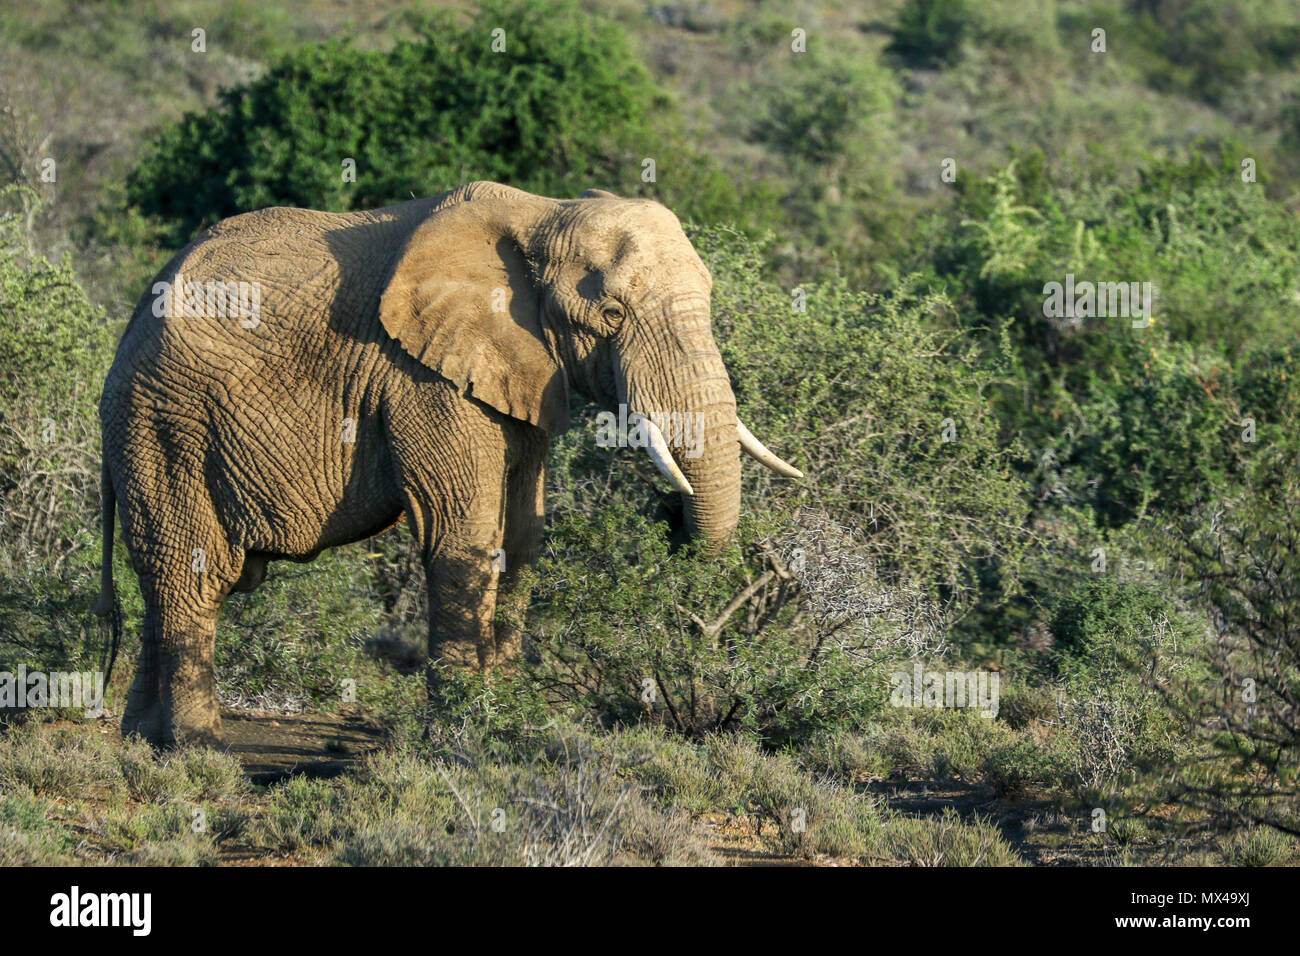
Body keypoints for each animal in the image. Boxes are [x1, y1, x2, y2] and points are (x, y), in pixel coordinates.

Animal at [91, 179, 795, 749]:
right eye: (611, 315)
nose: (668, 512)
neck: (541, 213)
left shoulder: (521, 371)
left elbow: (523, 539)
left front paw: (510, 722)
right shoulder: (423, 376)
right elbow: (465, 537)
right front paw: (463, 734)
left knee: (165, 581)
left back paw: (143, 741)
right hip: (164, 420)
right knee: (192, 572)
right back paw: (199, 750)